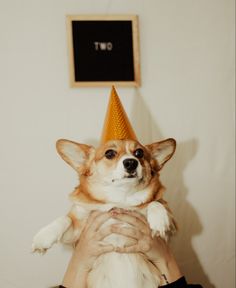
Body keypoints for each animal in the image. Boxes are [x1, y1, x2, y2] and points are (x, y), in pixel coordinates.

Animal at [32, 138, 177, 288]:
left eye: (139, 153)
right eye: (110, 153)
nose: (131, 162)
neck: (120, 199)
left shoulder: (172, 228)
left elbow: (156, 203)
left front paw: (159, 220)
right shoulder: (75, 233)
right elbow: (65, 219)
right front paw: (43, 237)